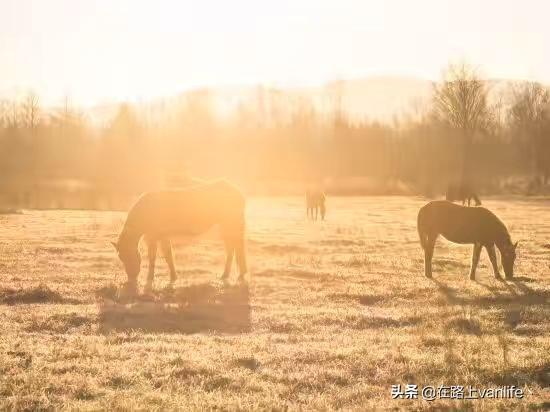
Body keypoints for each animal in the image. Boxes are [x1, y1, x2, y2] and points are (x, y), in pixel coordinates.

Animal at [112, 180, 248, 292]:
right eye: (121, 257)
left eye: (128, 256)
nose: (131, 278)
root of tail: (238, 192)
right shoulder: (163, 236)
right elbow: (168, 256)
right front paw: (173, 277)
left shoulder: (153, 237)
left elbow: (152, 258)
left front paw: (150, 278)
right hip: (227, 227)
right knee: (232, 249)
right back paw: (227, 274)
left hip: (231, 225)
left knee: (236, 248)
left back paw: (238, 274)